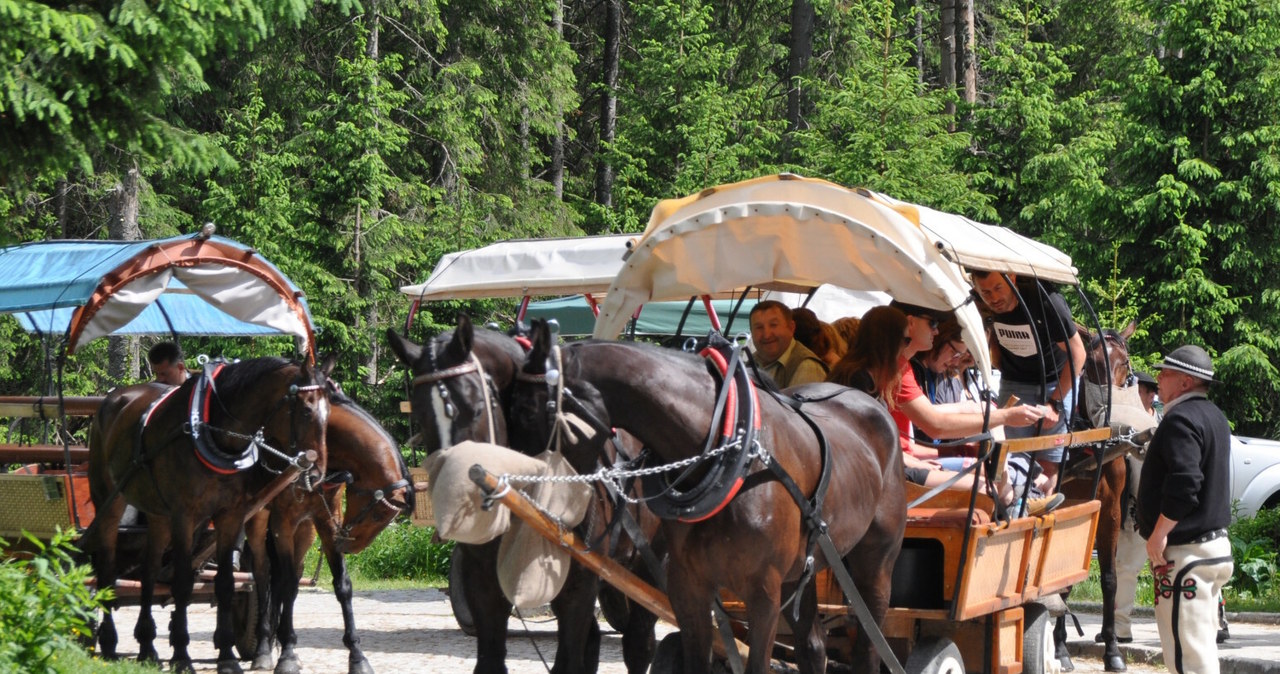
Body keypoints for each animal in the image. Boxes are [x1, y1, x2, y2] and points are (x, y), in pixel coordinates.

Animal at [88, 358, 330, 674]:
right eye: (305, 410)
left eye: (329, 413)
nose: (316, 473)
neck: (215, 433)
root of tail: (112, 399)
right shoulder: (184, 515)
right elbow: (181, 583)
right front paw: (181, 655)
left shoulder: (230, 515)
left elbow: (225, 583)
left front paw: (227, 656)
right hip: (110, 502)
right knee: (106, 572)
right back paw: (108, 642)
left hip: (157, 513)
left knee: (149, 571)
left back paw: (147, 646)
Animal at [241, 386, 412, 674]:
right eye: (379, 513)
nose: (349, 546)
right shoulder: (282, 522)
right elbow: (285, 584)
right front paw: (286, 654)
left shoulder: (327, 519)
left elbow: (342, 586)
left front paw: (356, 655)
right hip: (260, 521)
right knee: (264, 576)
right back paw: (263, 648)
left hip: (305, 531)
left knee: (289, 575)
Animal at [384, 322, 655, 674]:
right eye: (417, 414)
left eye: (475, 408)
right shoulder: (482, 581)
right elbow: (490, 660)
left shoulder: (580, 582)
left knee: (638, 643)